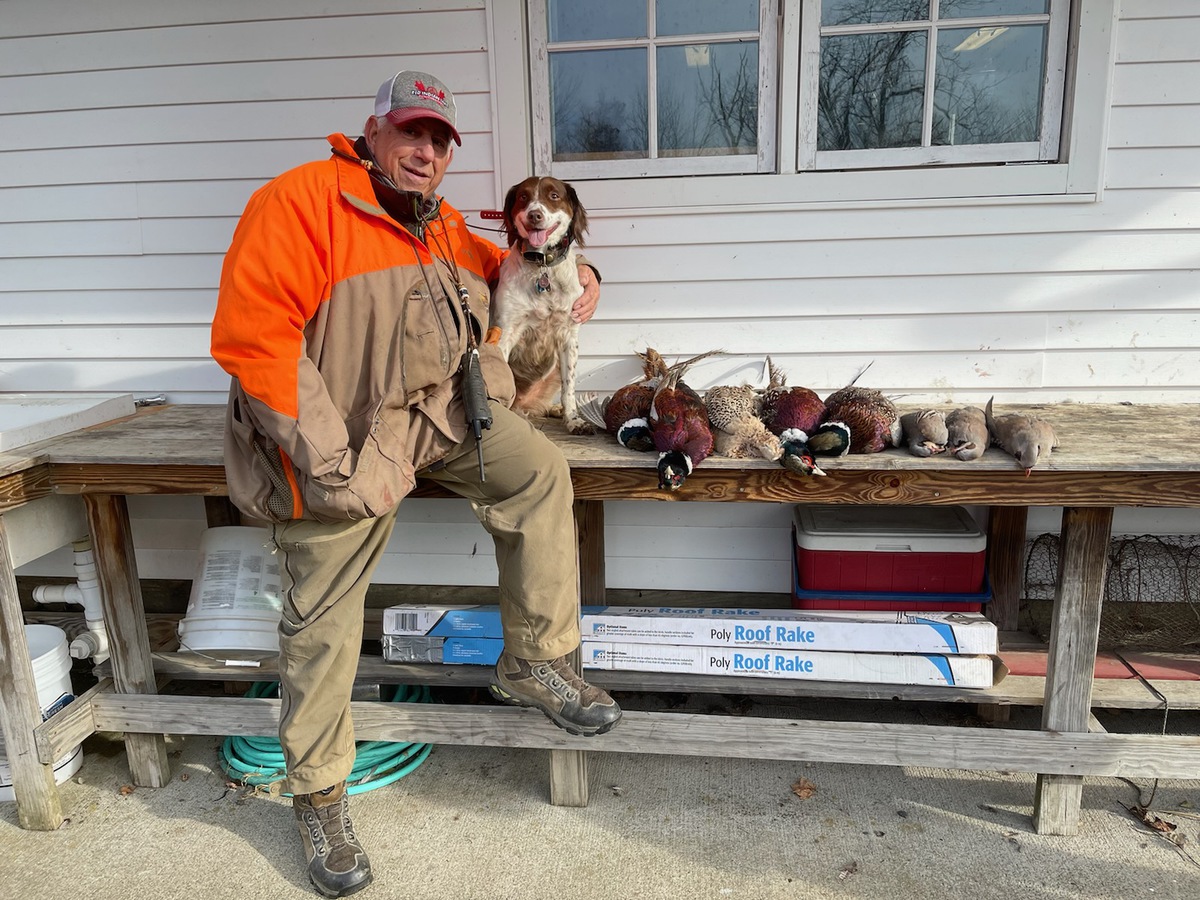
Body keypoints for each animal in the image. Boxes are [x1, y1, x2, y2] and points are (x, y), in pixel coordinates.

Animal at [489, 177, 592, 436]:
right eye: (523, 197)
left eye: (554, 196)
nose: (534, 215)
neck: (542, 266)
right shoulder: (505, 333)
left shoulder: (569, 338)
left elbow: (569, 389)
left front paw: (573, 420)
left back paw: (554, 409)